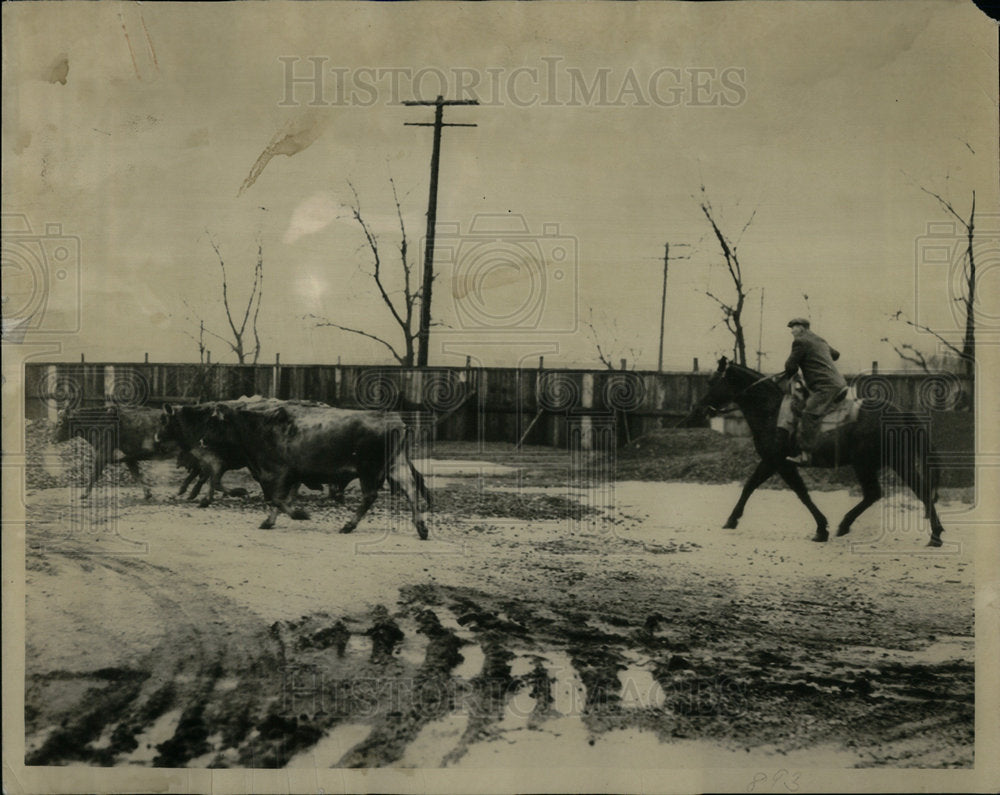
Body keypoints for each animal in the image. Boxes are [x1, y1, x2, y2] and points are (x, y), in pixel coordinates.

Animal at [205, 404, 432, 540]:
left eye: (215, 424)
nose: (202, 440)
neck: (261, 428)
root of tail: (394, 419)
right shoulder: (294, 475)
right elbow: (283, 499)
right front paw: (270, 521)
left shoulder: (279, 473)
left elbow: (277, 499)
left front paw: (300, 514)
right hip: (396, 466)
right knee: (411, 490)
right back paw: (421, 528)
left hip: (368, 469)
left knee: (370, 496)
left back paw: (348, 525)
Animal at [692, 360, 940, 548]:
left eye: (712, 381)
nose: (698, 409)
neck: (772, 411)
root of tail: (900, 413)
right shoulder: (775, 463)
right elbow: (759, 486)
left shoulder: (777, 462)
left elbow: (794, 492)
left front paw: (821, 528)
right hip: (888, 462)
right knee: (895, 492)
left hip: (873, 463)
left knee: (887, 492)